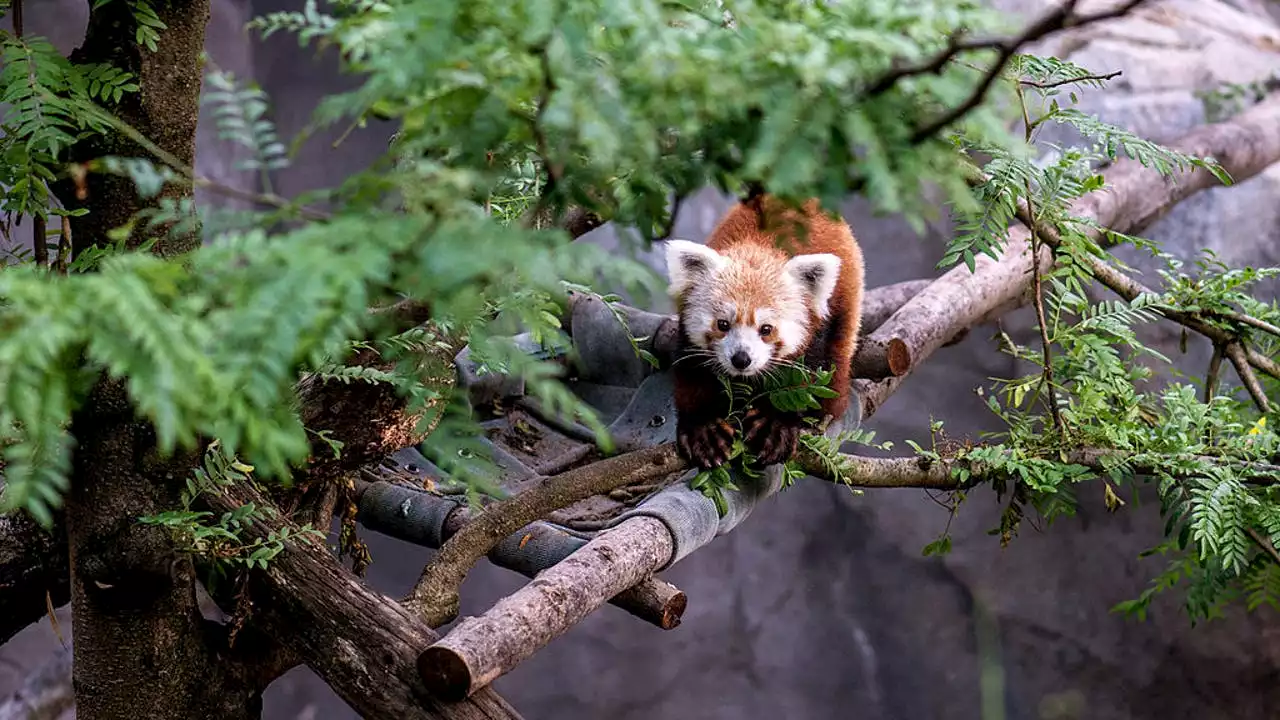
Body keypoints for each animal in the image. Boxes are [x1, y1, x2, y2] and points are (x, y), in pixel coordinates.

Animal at [665, 193, 865, 468]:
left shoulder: (816, 333)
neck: (758, 246)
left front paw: (775, 424)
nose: (741, 359)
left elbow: (804, 379)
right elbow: (692, 373)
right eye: (723, 324)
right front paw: (704, 428)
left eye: (766, 329)